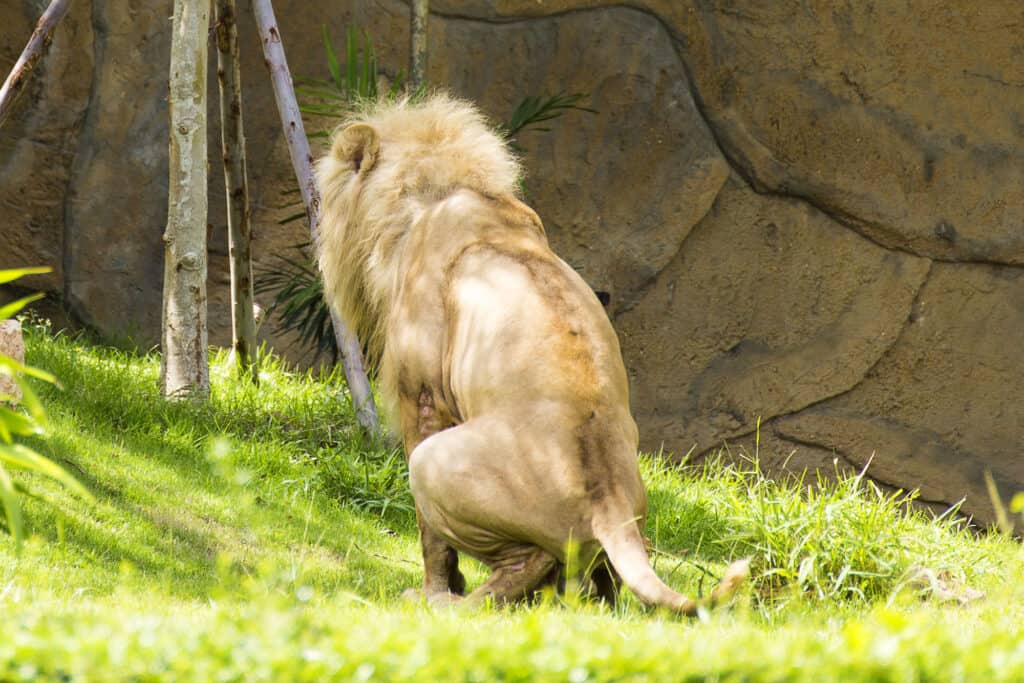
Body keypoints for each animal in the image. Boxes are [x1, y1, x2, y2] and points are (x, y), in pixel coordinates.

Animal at [315, 92, 749, 614]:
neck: (436, 198)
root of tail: (610, 505)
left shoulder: (422, 395)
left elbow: (429, 535)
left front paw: (436, 588)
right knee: (609, 576)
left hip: (435, 464)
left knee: (531, 559)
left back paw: (454, 604)